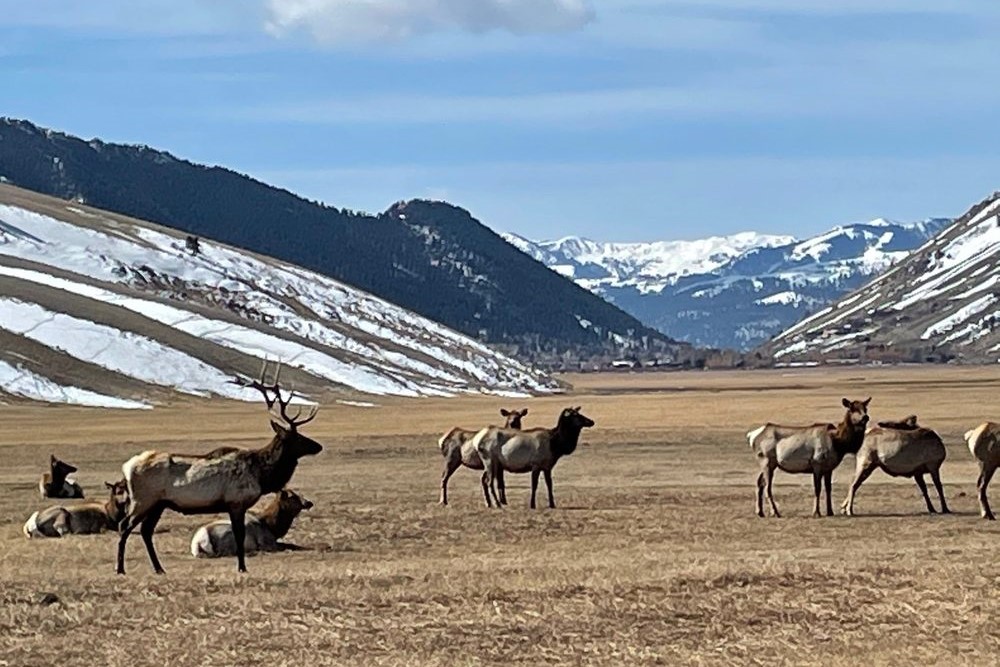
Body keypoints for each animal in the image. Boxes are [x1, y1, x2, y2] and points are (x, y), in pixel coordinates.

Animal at [115, 362, 322, 576]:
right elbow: (239, 536)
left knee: (146, 531)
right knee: (124, 526)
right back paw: (121, 568)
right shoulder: (236, 502)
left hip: (158, 504)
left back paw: (159, 568)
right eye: (297, 437)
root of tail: (127, 467)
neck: (261, 474)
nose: (319, 446)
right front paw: (242, 568)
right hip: (143, 500)